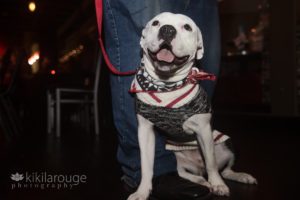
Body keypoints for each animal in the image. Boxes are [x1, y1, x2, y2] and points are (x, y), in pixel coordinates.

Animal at [127, 12, 256, 200]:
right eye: (156, 23)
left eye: (187, 27)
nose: (167, 30)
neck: (166, 85)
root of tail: (197, 167)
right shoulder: (145, 132)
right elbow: (146, 166)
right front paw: (142, 191)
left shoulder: (204, 130)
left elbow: (211, 162)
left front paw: (218, 185)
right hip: (179, 160)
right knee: (186, 173)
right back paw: (201, 181)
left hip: (227, 143)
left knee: (224, 170)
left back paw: (239, 176)